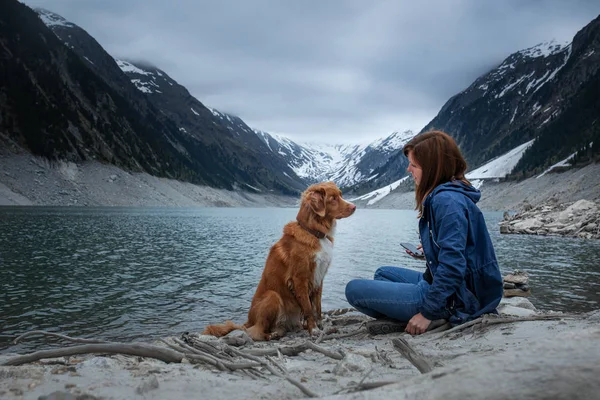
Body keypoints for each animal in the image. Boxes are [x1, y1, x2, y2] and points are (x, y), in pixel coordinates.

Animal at [204, 181, 356, 340]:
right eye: (333, 198)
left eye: (340, 195)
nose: (354, 207)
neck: (313, 232)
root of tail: (249, 321)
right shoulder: (299, 279)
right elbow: (309, 309)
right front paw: (314, 330)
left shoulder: (319, 278)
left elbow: (318, 307)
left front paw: (321, 327)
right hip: (272, 296)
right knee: (257, 331)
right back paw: (272, 334)